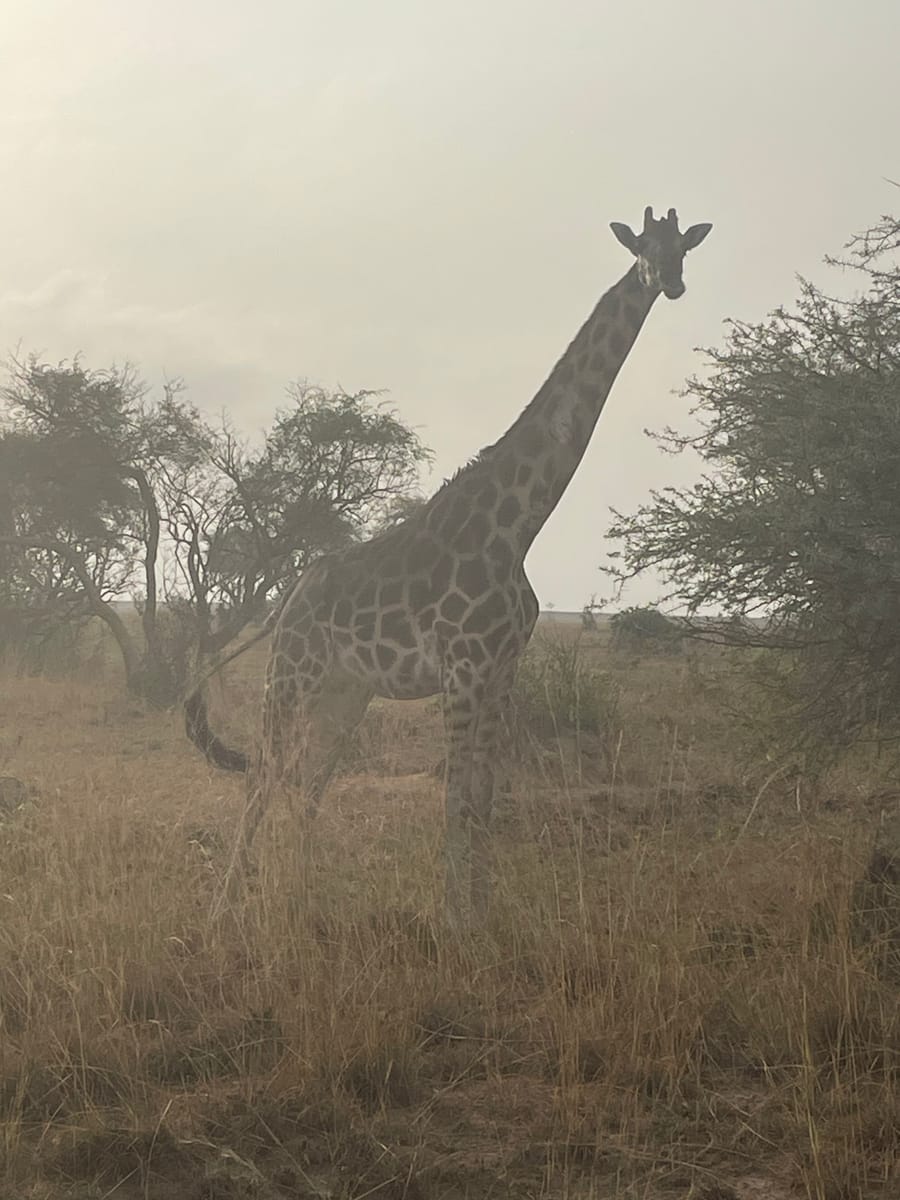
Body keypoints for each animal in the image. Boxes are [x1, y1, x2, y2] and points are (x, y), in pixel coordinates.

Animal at [185, 206, 712, 922]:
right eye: (642, 248)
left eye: (683, 248)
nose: (670, 283)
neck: (519, 527)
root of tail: (290, 594)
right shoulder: (463, 668)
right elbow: (454, 797)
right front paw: (455, 918)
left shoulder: (502, 669)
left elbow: (485, 797)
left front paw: (483, 913)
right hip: (291, 674)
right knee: (265, 775)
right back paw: (224, 910)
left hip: (346, 691)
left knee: (308, 781)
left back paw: (303, 895)